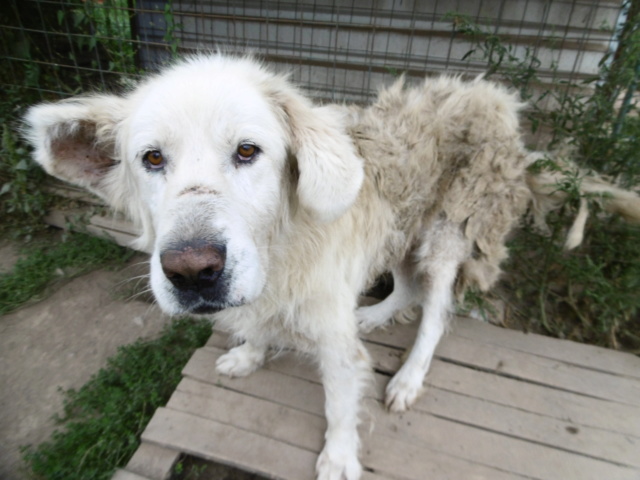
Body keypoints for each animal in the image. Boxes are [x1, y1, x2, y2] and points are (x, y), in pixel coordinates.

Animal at [23, 54, 640, 478]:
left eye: (248, 151)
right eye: (151, 158)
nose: (193, 271)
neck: (282, 251)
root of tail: (503, 106)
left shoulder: (334, 341)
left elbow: (341, 402)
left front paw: (339, 458)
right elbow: (258, 328)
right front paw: (248, 354)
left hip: (447, 235)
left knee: (436, 310)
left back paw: (409, 378)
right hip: (402, 227)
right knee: (406, 288)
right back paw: (373, 315)